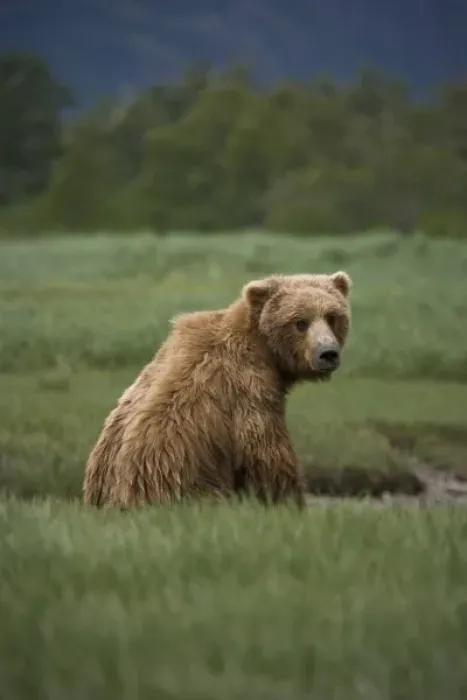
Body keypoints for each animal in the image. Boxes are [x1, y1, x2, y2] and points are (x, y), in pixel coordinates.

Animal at [83, 270, 352, 509]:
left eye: (332, 316)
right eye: (300, 322)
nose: (328, 354)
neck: (264, 351)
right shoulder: (249, 391)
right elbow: (266, 455)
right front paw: (289, 501)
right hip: (173, 479)